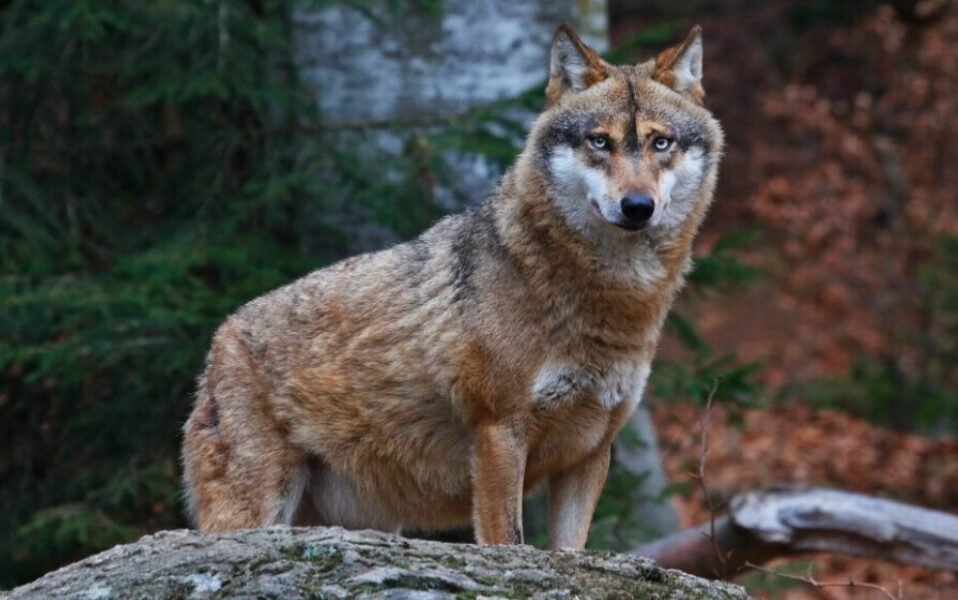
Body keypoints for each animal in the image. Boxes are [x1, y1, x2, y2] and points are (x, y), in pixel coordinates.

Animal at [182, 23, 723, 549]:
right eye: (600, 142)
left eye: (660, 143)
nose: (637, 206)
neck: (610, 299)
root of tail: (219, 337)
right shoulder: (499, 434)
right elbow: (508, 542)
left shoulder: (591, 452)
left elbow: (569, 552)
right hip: (256, 512)